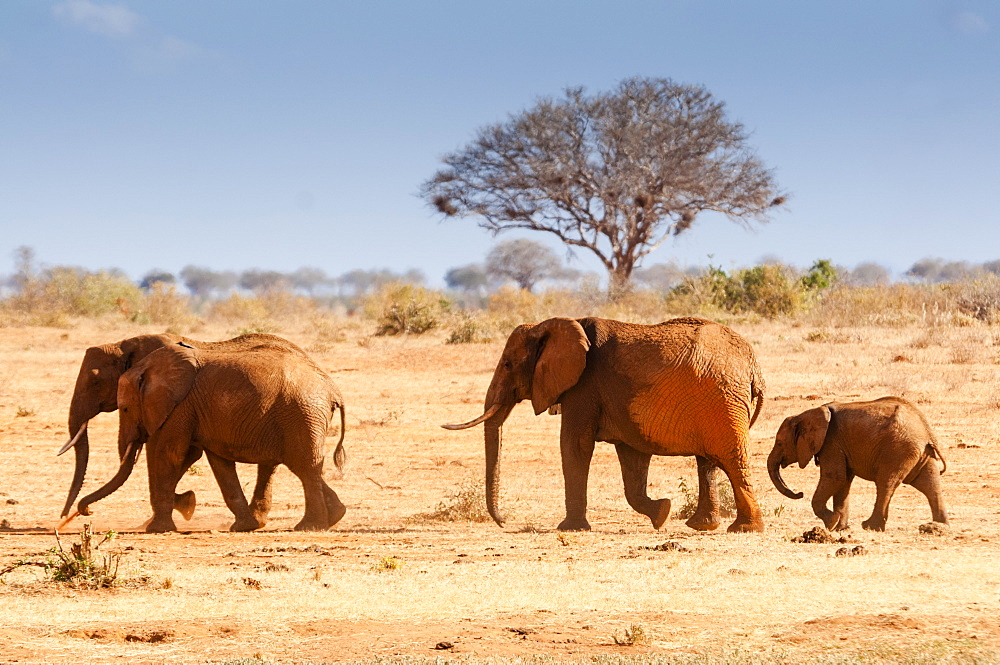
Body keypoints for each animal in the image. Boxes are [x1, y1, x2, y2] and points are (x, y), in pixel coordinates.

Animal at [60, 334, 338, 528]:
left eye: (94, 381)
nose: (78, 514)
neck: (124, 345)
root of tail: (331, 386)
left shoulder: (178, 405)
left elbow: (168, 453)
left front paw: (164, 521)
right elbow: (206, 459)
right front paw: (186, 505)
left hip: (299, 413)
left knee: (303, 464)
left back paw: (310, 525)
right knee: (286, 464)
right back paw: (334, 515)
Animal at [446, 314, 764, 532]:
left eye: (508, 364)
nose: (504, 522)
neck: (551, 325)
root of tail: (754, 367)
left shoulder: (584, 386)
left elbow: (574, 445)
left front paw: (571, 529)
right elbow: (632, 458)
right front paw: (662, 513)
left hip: (723, 399)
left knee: (732, 459)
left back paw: (744, 529)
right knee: (707, 461)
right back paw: (702, 526)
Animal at [768, 396, 948, 532]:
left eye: (779, 443)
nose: (800, 493)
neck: (805, 415)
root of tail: (926, 430)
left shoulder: (831, 442)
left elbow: (835, 478)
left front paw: (831, 523)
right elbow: (843, 482)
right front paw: (839, 528)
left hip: (898, 449)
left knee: (886, 483)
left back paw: (870, 526)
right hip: (920, 453)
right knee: (930, 485)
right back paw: (939, 527)